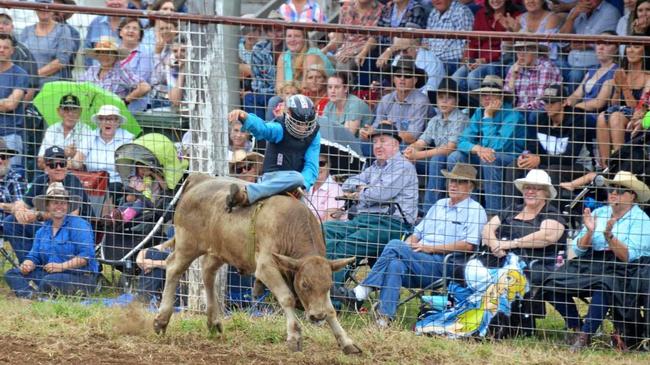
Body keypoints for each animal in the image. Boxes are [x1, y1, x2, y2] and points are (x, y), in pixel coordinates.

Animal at [154, 172, 362, 354]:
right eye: (304, 284)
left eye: (328, 285)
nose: (317, 316)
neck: (289, 226)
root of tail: (199, 179)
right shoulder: (266, 267)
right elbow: (287, 297)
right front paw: (294, 337)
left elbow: (331, 309)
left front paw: (346, 343)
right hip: (187, 244)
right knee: (173, 268)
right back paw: (161, 320)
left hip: (219, 251)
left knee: (208, 274)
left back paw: (213, 322)